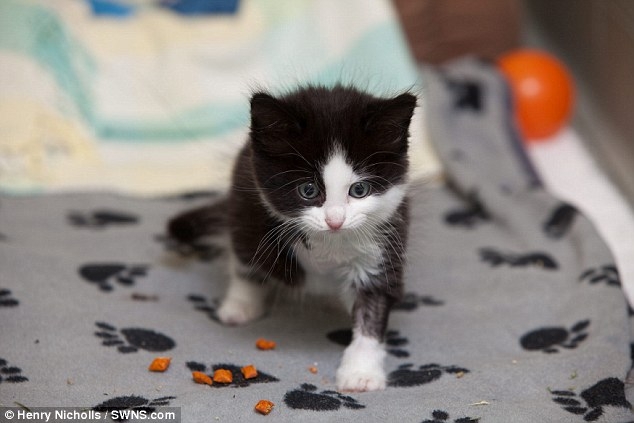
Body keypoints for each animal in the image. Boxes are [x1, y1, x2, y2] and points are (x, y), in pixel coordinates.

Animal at [168, 86, 414, 394]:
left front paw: (361, 372)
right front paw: (242, 301)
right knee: (244, 259)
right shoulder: (251, 211)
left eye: (360, 190)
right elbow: (247, 262)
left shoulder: (384, 239)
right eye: (308, 190)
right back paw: (240, 306)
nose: (335, 221)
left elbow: (373, 305)